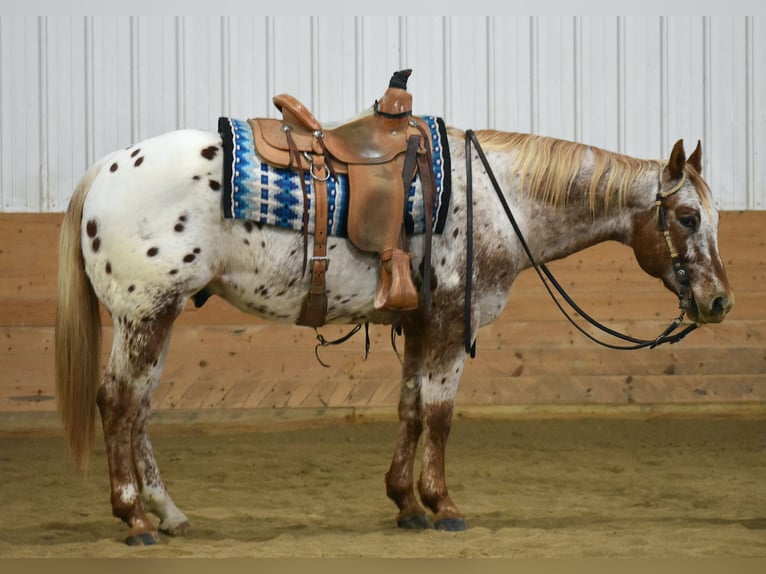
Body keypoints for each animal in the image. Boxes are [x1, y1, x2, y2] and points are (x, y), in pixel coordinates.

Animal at [55, 120, 736, 544]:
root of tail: (104, 169)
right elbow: (439, 415)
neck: (498, 200)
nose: (719, 301)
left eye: (714, 216)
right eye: (686, 216)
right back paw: (135, 520)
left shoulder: (418, 326)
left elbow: (409, 409)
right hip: (145, 314)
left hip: (158, 318)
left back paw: (168, 514)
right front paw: (444, 505)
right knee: (117, 403)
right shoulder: (452, 324)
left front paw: (406, 503)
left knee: (138, 411)